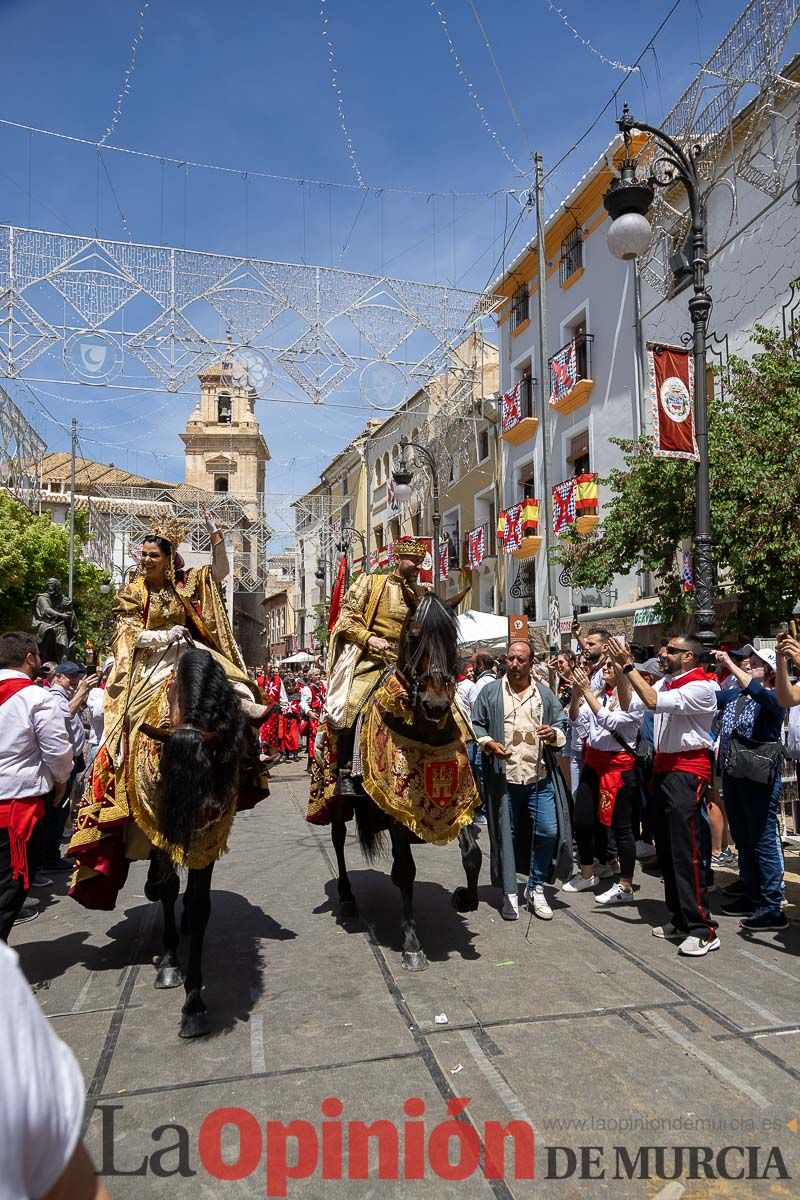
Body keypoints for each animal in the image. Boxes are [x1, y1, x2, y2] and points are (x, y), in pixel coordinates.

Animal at [326, 595, 479, 969]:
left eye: (452, 636)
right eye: (414, 635)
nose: (435, 704)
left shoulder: (458, 802)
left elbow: (472, 854)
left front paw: (465, 898)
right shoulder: (395, 805)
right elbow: (407, 869)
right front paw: (412, 944)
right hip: (338, 802)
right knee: (338, 839)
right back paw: (346, 897)